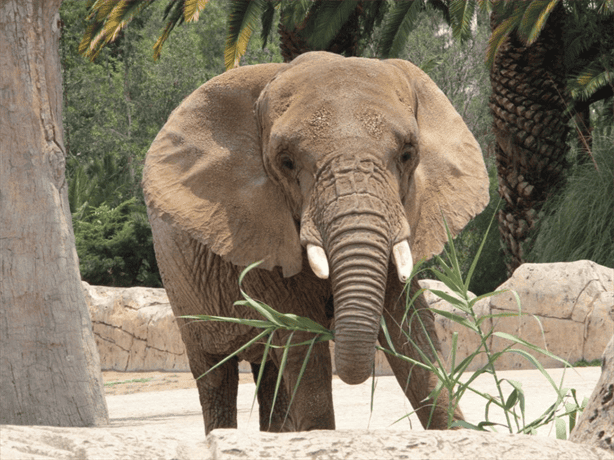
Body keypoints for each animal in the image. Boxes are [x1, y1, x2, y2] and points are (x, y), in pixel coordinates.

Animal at [141, 51, 490, 434]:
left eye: (407, 154)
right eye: (286, 161)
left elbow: (413, 332)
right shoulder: (260, 233)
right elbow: (301, 344)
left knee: (271, 373)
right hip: (180, 288)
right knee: (216, 373)